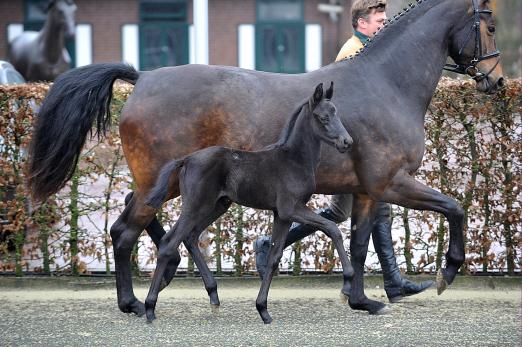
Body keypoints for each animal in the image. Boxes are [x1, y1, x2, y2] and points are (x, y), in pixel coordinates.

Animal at [144, 83, 352, 324]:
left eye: (336, 113)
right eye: (323, 117)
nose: (347, 142)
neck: (294, 160)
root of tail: (186, 160)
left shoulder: (281, 215)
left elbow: (274, 257)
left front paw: (263, 309)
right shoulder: (291, 209)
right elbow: (332, 228)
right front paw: (346, 287)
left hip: (217, 205)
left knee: (190, 237)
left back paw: (214, 297)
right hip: (195, 206)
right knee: (170, 242)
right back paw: (149, 308)